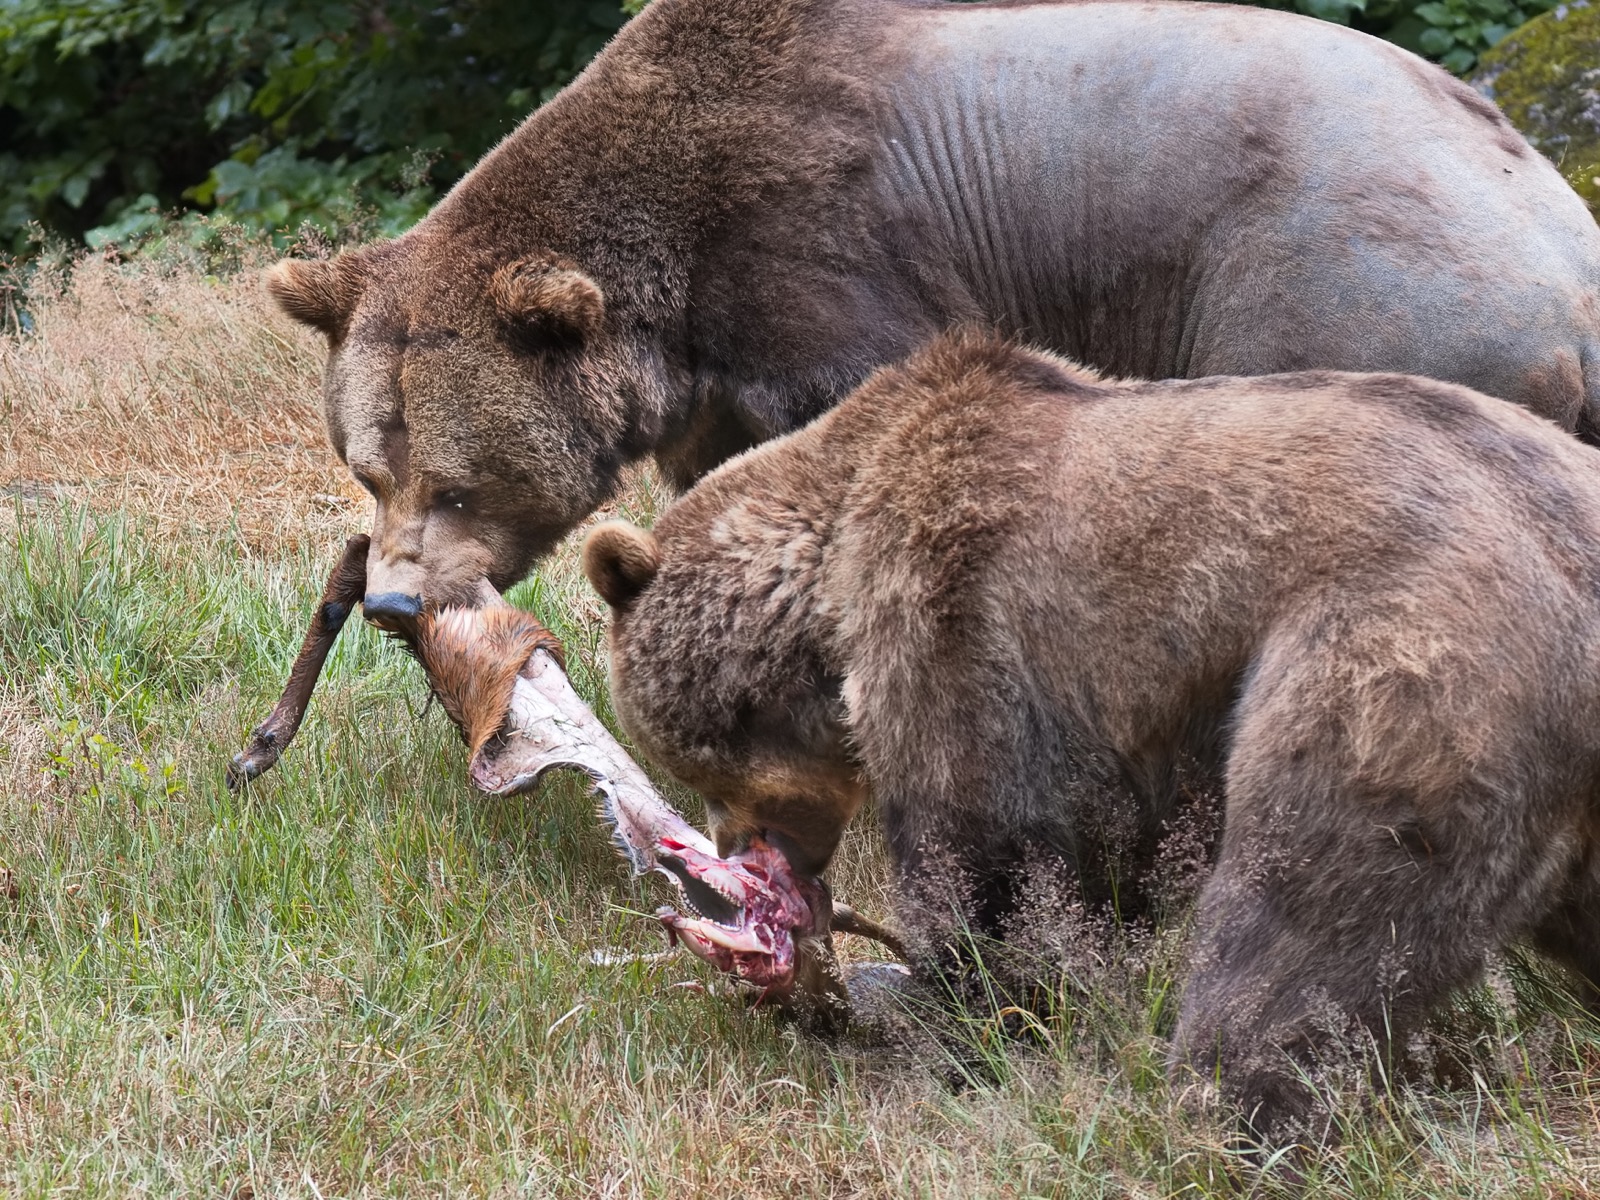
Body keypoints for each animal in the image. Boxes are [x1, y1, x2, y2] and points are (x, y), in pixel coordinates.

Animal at [262, 0, 1600, 630]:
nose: (390, 601)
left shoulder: (825, 255)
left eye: (458, 483)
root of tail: (1565, 241)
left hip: (1338, 295)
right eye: (368, 468)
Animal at [582, 331, 1600, 1145]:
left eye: (695, 764)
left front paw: (955, 1009)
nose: (732, 848)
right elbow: (1109, 870)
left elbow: (990, 857)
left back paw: (1216, 1112)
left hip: (1401, 675)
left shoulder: (962, 617)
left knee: (1299, 930)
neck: (825, 582)